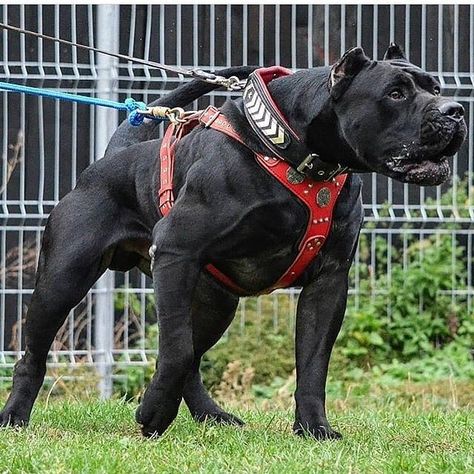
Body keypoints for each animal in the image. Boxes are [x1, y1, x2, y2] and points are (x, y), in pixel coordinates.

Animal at [0, 44, 466, 436]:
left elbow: (313, 364)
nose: (456, 110)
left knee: (191, 357)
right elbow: (176, 350)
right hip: (63, 280)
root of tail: (111, 158)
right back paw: (15, 419)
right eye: (395, 93)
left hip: (213, 300)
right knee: (35, 356)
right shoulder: (177, 250)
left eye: (435, 87)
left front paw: (314, 429)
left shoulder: (329, 282)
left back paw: (212, 415)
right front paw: (153, 414)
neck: (299, 154)